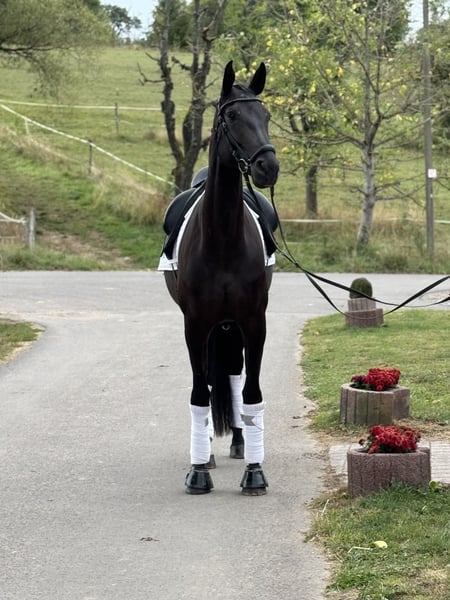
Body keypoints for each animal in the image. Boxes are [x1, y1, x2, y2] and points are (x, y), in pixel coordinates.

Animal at [160, 61, 279, 495]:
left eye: (266, 115)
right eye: (231, 117)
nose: (267, 167)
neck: (224, 238)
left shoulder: (254, 322)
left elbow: (251, 391)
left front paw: (255, 471)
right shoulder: (195, 324)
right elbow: (200, 393)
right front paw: (198, 470)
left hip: (232, 327)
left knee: (231, 375)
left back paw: (241, 443)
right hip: (213, 327)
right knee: (212, 380)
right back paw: (208, 452)